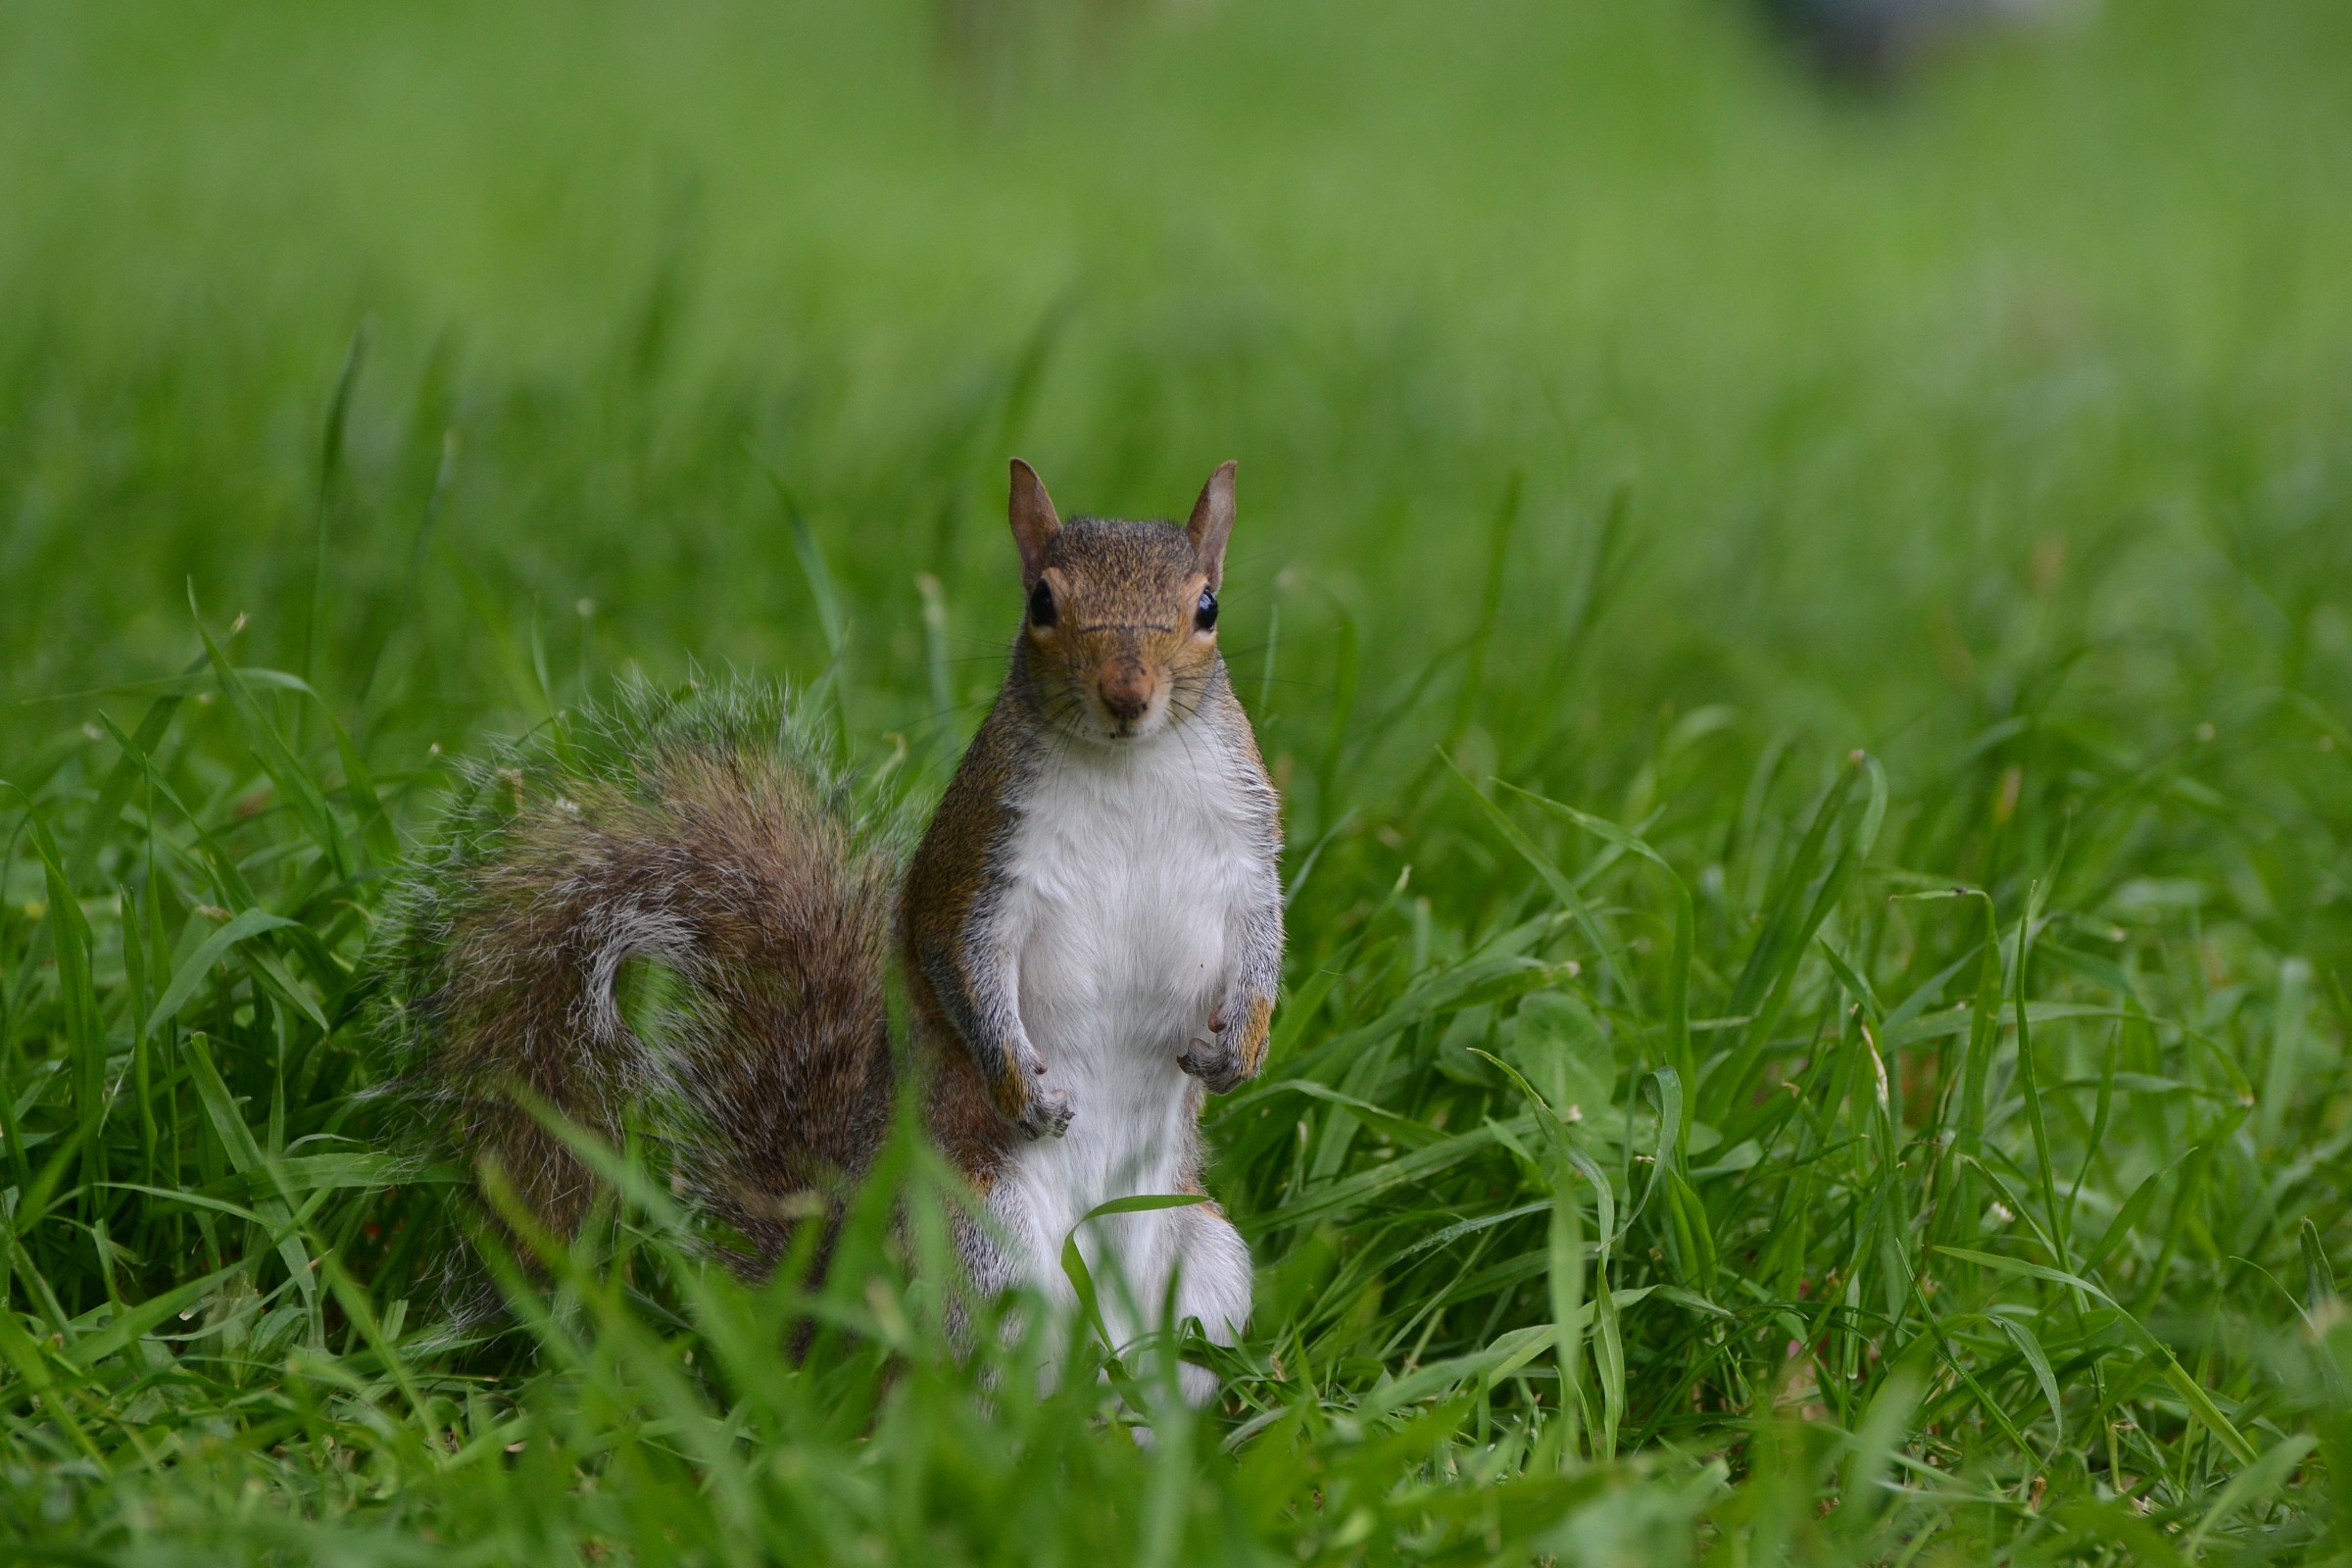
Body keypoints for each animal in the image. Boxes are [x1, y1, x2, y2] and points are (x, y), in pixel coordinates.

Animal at [377, 459, 1283, 1396]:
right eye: (1041, 602)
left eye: (1207, 607)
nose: (1126, 695)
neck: (1126, 765)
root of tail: (830, 1326)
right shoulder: (980, 867)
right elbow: (960, 966)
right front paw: (1023, 1089)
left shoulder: (1247, 852)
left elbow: (1262, 941)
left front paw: (1244, 1045)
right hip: (981, 1251)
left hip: (1206, 1266)